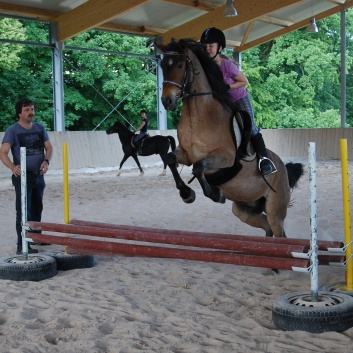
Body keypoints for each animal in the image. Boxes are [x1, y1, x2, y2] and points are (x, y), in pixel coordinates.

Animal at [156, 38, 302, 238]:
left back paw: (266, 166)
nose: (167, 101)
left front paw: (216, 194)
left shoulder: (225, 158)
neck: (198, 117)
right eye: (162, 65)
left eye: (180, 65)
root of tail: (284, 169)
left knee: (278, 230)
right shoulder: (185, 153)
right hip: (244, 210)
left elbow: (198, 167)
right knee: (267, 228)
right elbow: (171, 159)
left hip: (275, 209)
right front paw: (186, 193)